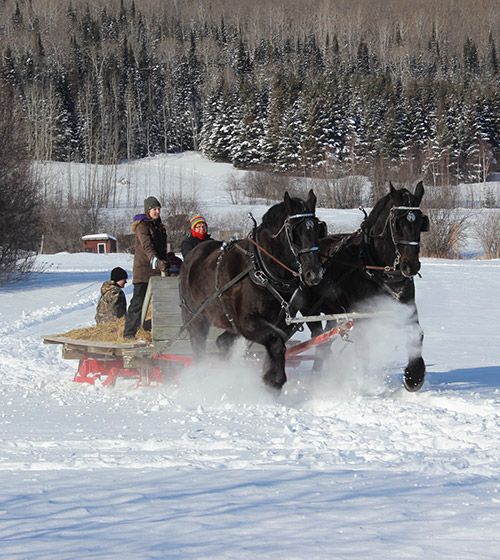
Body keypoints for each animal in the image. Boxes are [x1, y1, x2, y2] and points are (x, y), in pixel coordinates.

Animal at [180, 188, 324, 390]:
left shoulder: (280, 324)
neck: (262, 269)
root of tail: (192, 256)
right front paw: (274, 380)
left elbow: (276, 346)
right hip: (196, 319)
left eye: (317, 228)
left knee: (222, 342)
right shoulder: (248, 322)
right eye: (294, 231)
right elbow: (276, 343)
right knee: (199, 348)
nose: (315, 273)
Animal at [304, 182, 430, 392]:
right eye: (397, 224)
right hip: (309, 310)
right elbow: (363, 349)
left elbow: (416, 334)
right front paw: (363, 383)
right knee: (318, 339)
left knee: (325, 343)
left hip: (333, 312)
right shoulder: (361, 314)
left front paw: (414, 377)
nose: (411, 266)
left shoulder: (407, 306)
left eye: (421, 222)